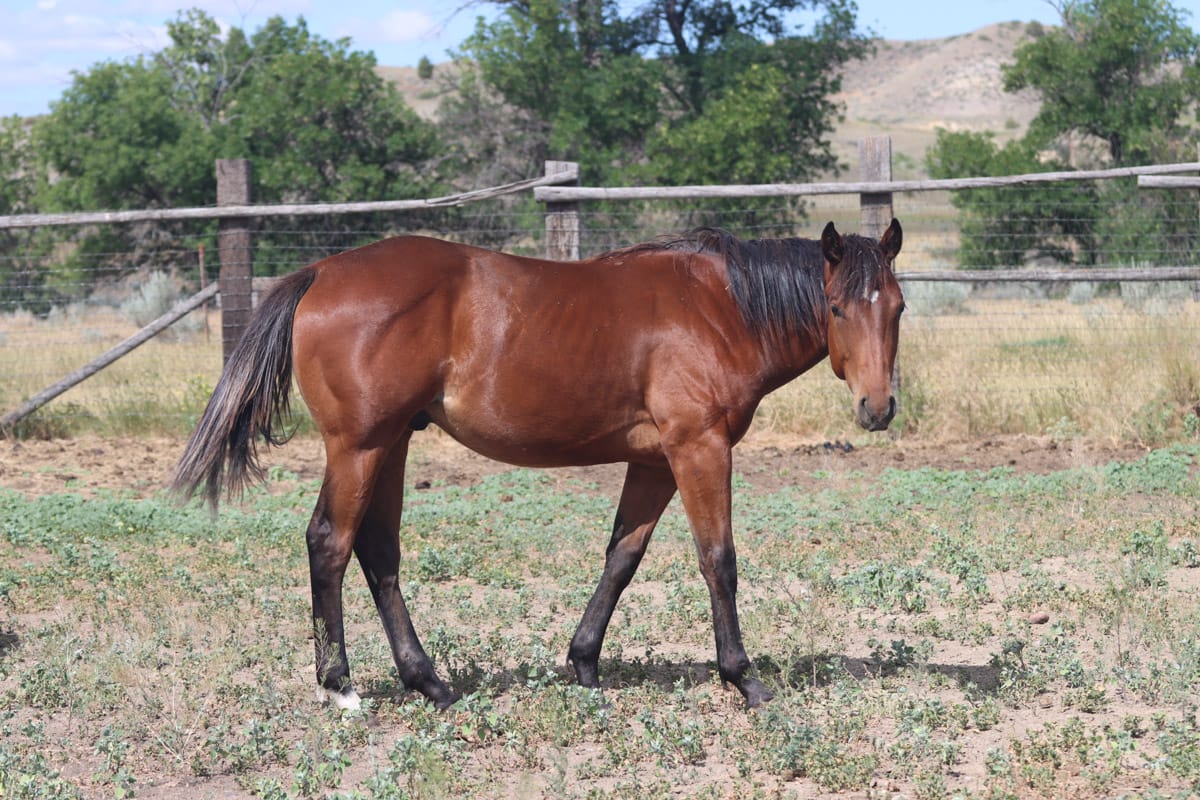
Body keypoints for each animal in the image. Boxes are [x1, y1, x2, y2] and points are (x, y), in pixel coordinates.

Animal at [172, 219, 904, 711]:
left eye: (896, 307)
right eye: (837, 307)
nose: (877, 408)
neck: (719, 309)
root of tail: (322, 271)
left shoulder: (653, 462)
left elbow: (622, 558)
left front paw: (584, 664)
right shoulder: (698, 447)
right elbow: (717, 560)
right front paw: (744, 677)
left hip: (391, 444)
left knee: (378, 552)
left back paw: (430, 681)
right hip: (359, 445)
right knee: (330, 542)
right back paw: (341, 686)